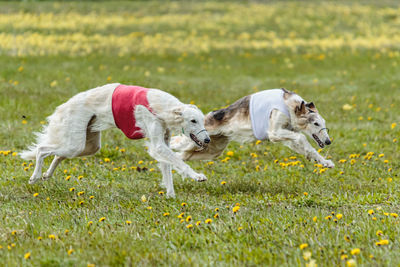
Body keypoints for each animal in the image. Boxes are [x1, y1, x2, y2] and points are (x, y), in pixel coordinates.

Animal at [20, 84, 211, 199]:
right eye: (193, 120)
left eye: (202, 121)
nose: (208, 139)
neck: (161, 107)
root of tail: (65, 105)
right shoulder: (157, 143)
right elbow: (179, 162)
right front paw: (197, 176)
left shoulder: (163, 139)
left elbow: (167, 169)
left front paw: (171, 196)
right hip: (76, 142)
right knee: (42, 149)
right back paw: (35, 176)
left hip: (87, 145)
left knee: (58, 155)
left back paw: (47, 174)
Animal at [171, 88, 334, 168]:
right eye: (316, 124)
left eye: (324, 123)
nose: (328, 142)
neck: (291, 106)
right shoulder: (275, 132)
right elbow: (301, 137)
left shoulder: (287, 134)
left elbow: (307, 148)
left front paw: (325, 162)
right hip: (195, 140)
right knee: (174, 143)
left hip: (213, 150)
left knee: (181, 156)